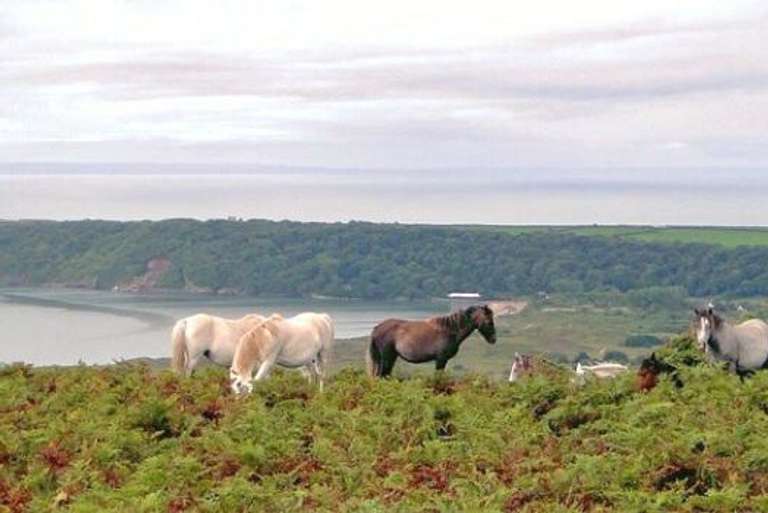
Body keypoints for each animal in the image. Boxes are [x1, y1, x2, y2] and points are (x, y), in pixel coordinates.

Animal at [367, 305, 496, 378]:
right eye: (489, 321)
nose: (493, 339)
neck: (449, 330)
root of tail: (377, 328)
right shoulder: (440, 359)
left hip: (391, 357)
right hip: (387, 358)